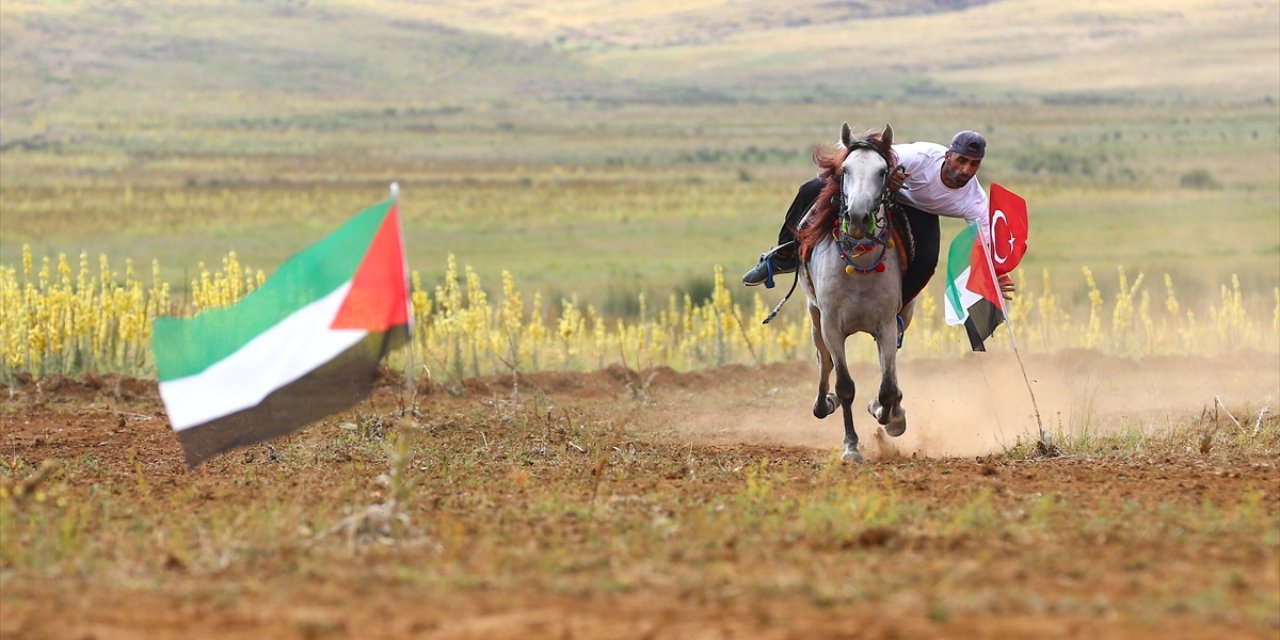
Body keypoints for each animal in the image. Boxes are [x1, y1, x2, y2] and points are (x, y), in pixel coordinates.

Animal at [798, 122, 911, 463]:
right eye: (845, 169)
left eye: (882, 171)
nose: (859, 217)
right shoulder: (832, 325)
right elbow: (845, 385)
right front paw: (851, 446)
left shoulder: (886, 324)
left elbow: (887, 388)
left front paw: (888, 415)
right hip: (814, 316)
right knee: (824, 362)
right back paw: (824, 403)